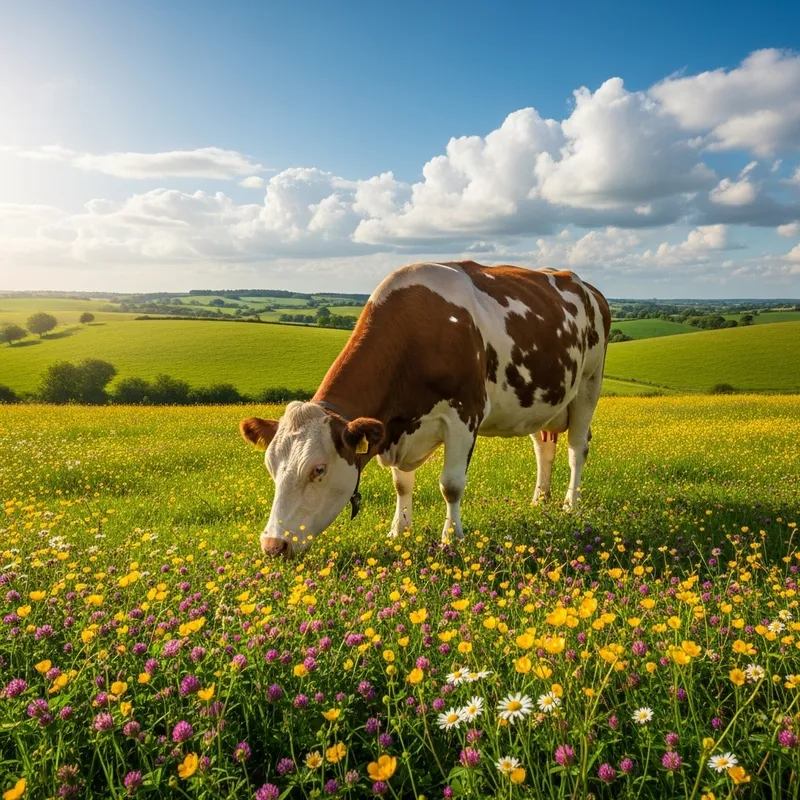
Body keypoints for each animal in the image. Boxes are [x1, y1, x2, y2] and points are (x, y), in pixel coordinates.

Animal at [240, 260, 611, 558]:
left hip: (588, 384)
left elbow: (451, 485)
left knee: (577, 449)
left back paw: (570, 506)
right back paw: (540, 500)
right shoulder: (395, 428)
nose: (272, 545)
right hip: (541, 399)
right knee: (543, 448)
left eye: (318, 469)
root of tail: (587, 286)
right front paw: (399, 531)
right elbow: (402, 484)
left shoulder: (465, 414)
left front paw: (452, 539)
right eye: (271, 466)